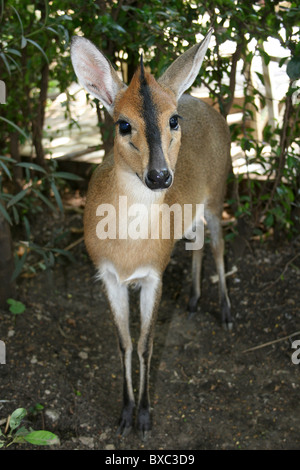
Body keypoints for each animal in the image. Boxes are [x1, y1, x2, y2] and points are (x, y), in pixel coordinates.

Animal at [70, 29, 232, 438]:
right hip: (192, 211)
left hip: (218, 193)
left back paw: (225, 311)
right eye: (123, 124)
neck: (129, 247)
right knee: (197, 243)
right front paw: (125, 413)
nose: (159, 176)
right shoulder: (107, 274)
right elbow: (124, 343)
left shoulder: (154, 274)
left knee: (219, 245)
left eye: (173, 120)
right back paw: (193, 300)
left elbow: (146, 344)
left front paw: (144, 416)